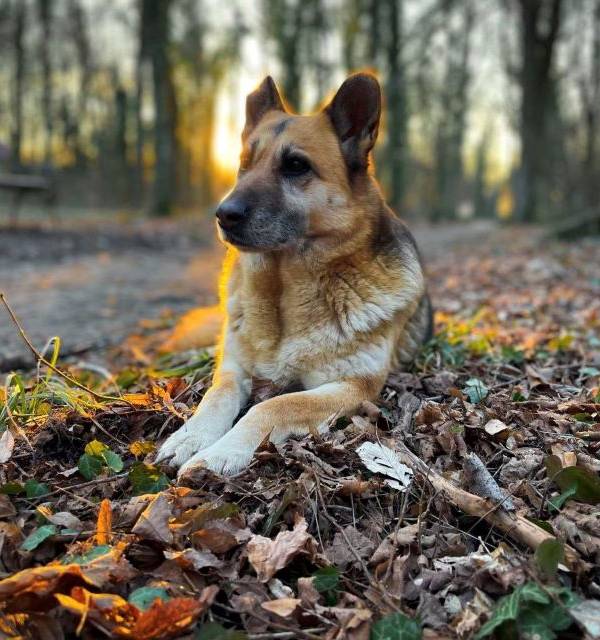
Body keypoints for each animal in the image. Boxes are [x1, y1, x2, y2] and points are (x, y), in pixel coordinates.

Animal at [156, 72, 432, 478]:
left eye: (296, 165)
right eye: (244, 163)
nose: (223, 215)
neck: (282, 289)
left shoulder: (350, 386)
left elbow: (272, 406)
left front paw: (222, 451)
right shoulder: (233, 369)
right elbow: (216, 396)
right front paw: (190, 436)